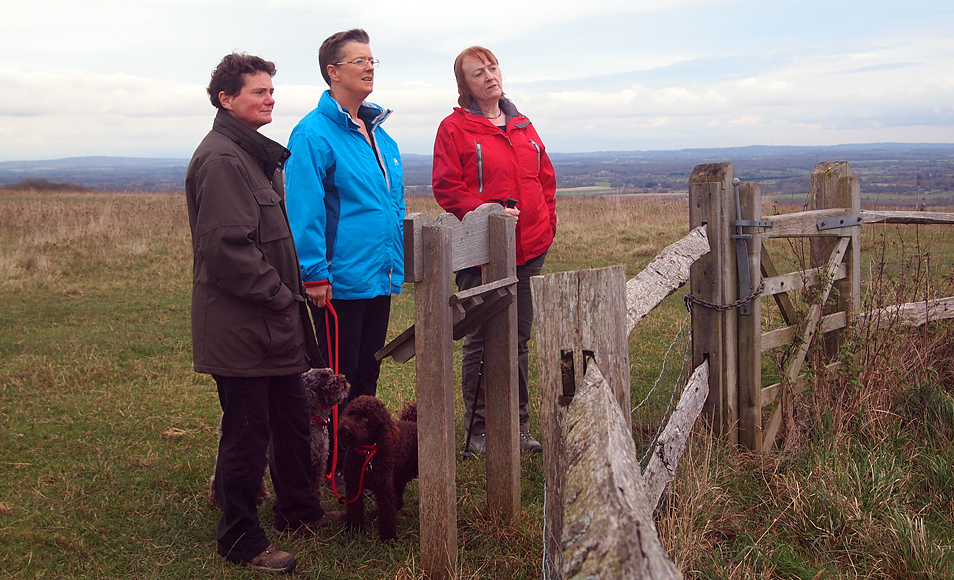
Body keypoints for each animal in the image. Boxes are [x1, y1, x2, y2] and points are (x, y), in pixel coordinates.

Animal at [334, 396, 416, 540]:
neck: (366, 454)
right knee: (399, 500)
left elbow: (387, 515)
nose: (345, 427)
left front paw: (388, 539)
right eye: (350, 413)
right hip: (399, 477)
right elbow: (354, 510)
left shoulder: (384, 490)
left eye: (366, 419)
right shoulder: (353, 487)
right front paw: (354, 530)